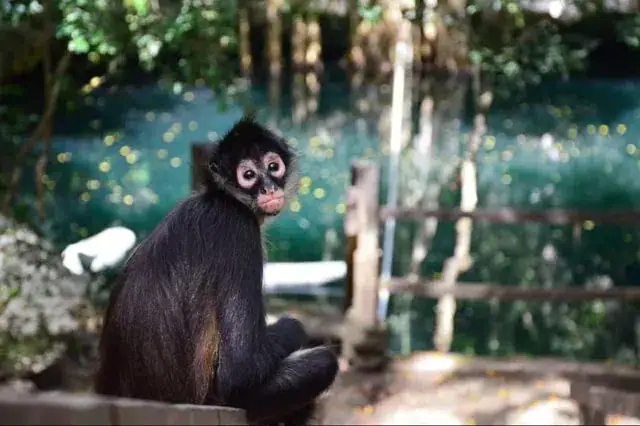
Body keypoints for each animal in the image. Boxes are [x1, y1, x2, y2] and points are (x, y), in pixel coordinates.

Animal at [93, 117, 339, 425]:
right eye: (248, 175)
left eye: (273, 167)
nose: (269, 188)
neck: (223, 199)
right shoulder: (239, 228)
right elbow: (241, 370)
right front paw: (293, 326)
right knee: (324, 361)